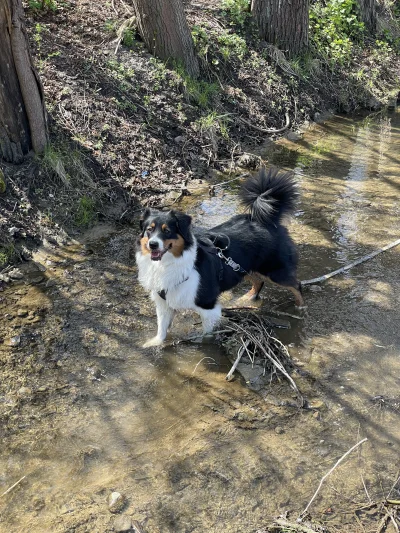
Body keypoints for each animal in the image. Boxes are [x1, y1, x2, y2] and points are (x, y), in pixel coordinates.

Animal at [137, 167, 304, 350]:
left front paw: (203, 345)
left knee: (297, 285)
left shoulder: (208, 305)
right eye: (149, 230)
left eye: (167, 231)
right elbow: (162, 328)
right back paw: (247, 298)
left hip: (275, 270)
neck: (168, 263)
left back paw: (300, 308)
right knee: (259, 282)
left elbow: (207, 335)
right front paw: (154, 343)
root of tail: (268, 220)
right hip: (244, 268)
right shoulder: (164, 304)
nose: (153, 245)